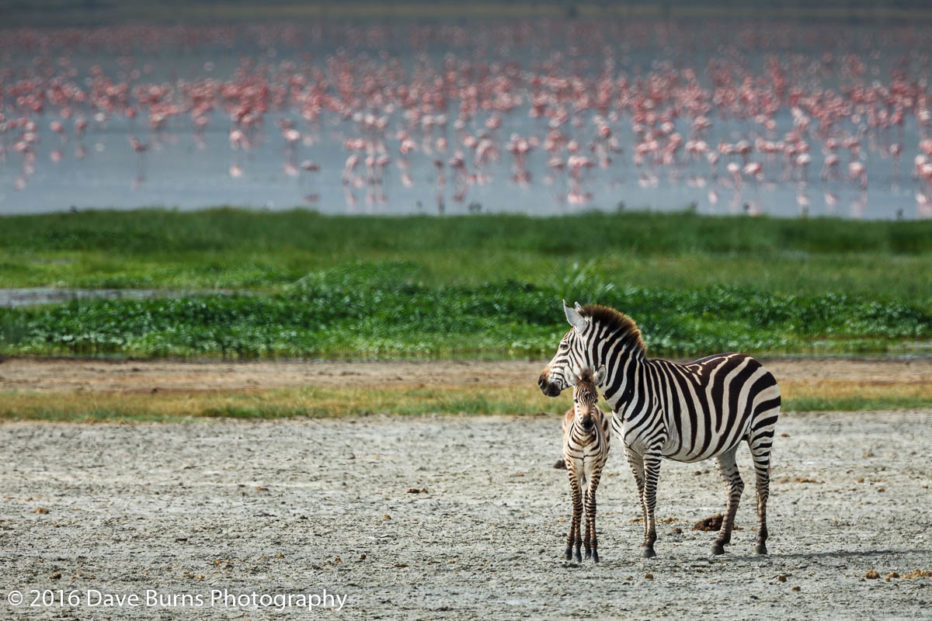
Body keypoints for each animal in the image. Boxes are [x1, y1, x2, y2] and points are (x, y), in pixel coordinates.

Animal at [560, 366, 612, 560]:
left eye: (596, 399)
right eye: (576, 400)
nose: (588, 423)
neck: (583, 439)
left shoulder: (594, 467)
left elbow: (590, 505)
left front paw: (593, 548)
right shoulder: (573, 467)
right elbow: (576, 505)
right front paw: (572, 548)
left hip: (597, 467)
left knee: (589, 499)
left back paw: (587, 548)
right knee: (578, 501)